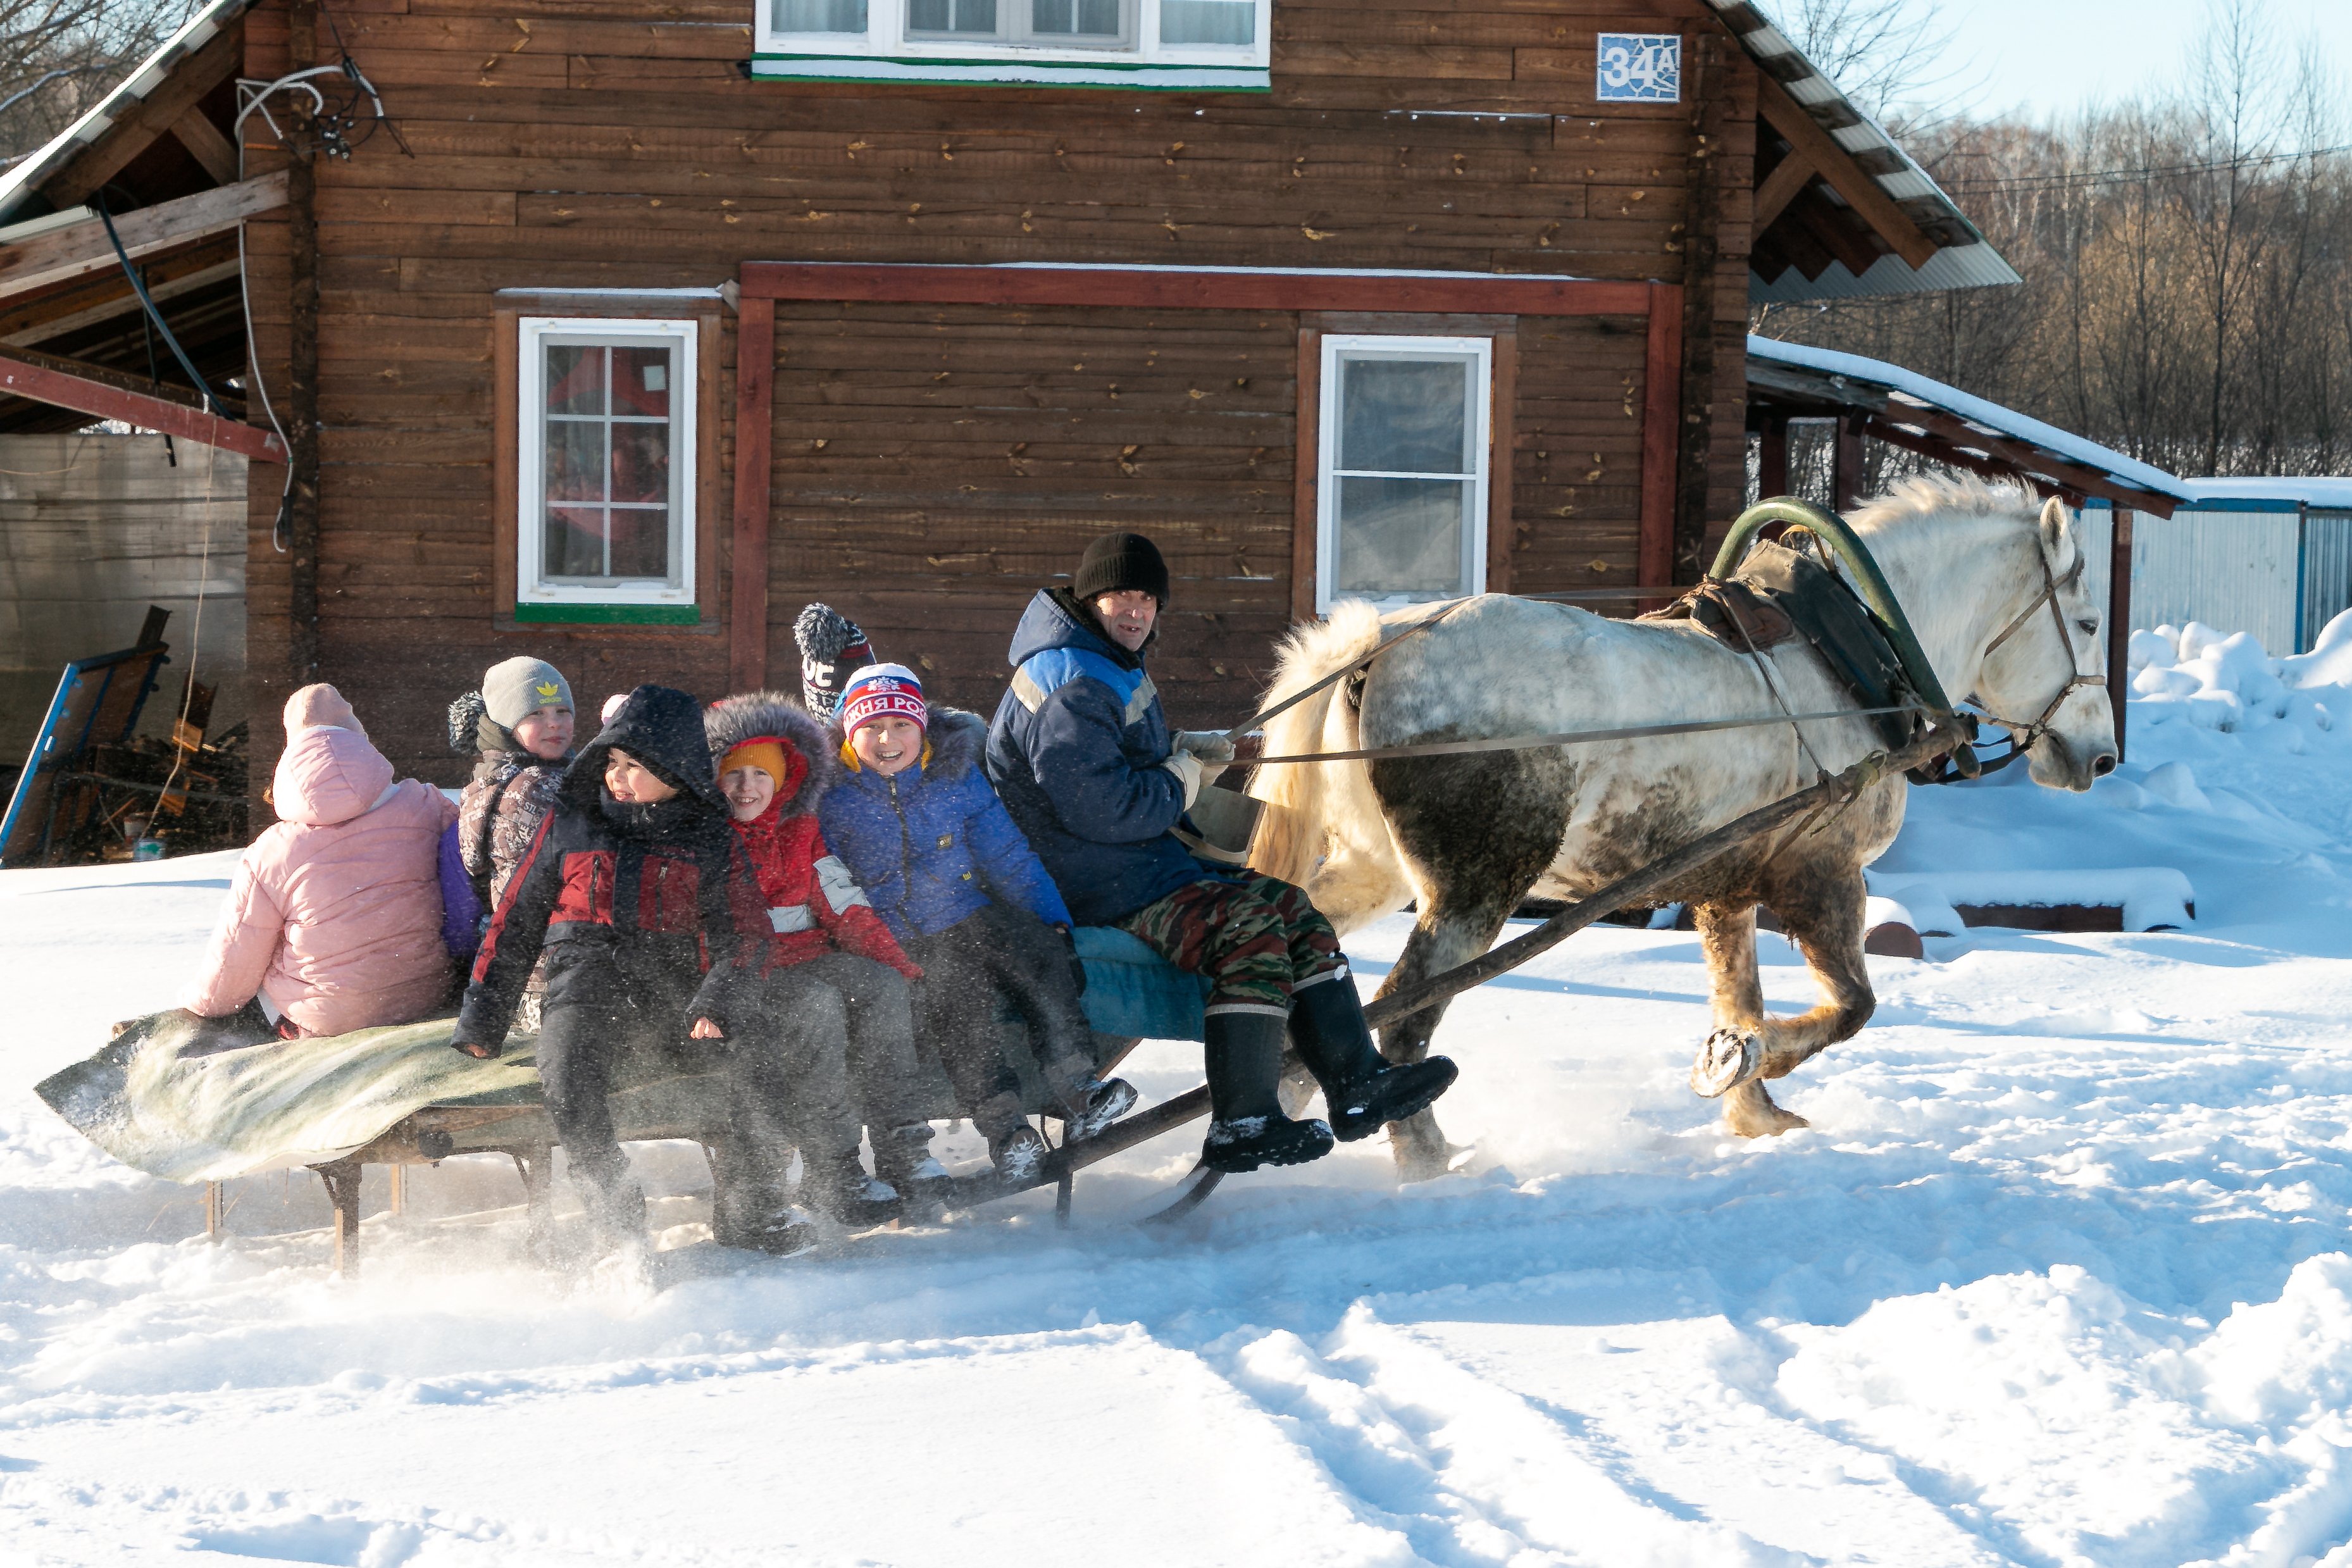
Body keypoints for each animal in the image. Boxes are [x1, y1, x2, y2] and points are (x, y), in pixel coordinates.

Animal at [1251, 475, 2117, 1175]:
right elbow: (1850, 1008)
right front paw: (1753, 1062)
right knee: (1404, 1022)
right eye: (2090, 622)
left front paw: (1751, 1106)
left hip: (1376, 871)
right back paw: (1429, 1165)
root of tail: (1380, 645)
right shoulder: (1822, 872)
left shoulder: (1726, 888)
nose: (2102, 757)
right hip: (1473, 890)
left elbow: (1740, 997)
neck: (1846, 656)